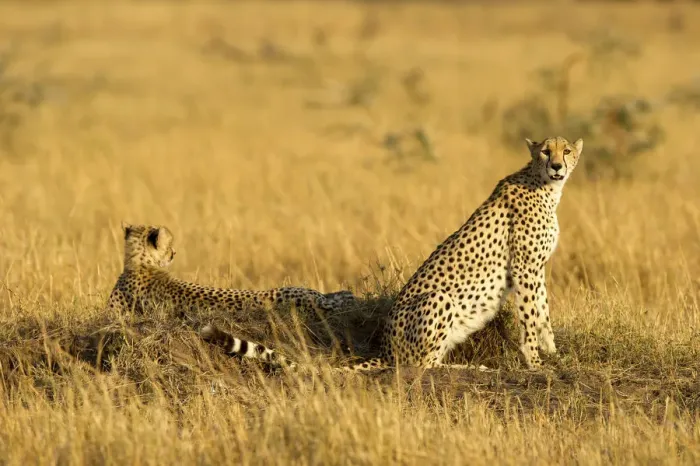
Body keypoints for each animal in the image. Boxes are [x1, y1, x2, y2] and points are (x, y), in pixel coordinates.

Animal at [201, 136, 582, 372]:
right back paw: (472, 366)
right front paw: (536, 364)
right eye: (545, 151)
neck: (545, 187)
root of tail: (383, 349)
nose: (557, 166)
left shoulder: (536, 269)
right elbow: (531, 316)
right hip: (439, 299)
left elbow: (543, 312)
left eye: (566, 151)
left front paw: (553, 353)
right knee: (420, 365)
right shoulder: (525, 268)